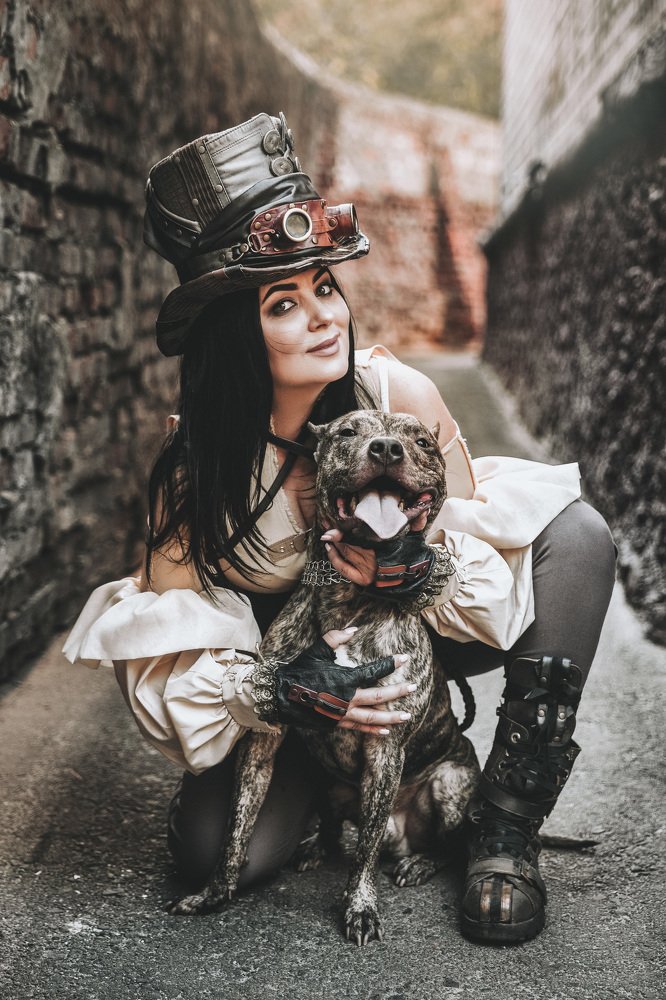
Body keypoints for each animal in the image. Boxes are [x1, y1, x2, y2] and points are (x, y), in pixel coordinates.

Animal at [169, 410, 480, 944]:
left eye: (420, 440)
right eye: (347, 432)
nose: (386, 449)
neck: (349, 597)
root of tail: (404, 834)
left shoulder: (386, 747)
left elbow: (365, 855)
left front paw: (360, 906)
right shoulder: (265, 735)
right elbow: (237, 826)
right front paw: (215, 891)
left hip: (450, 784)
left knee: (435, 843)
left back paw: (419, 862)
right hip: (327, 784)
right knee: (339, 831)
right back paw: (316, 845)